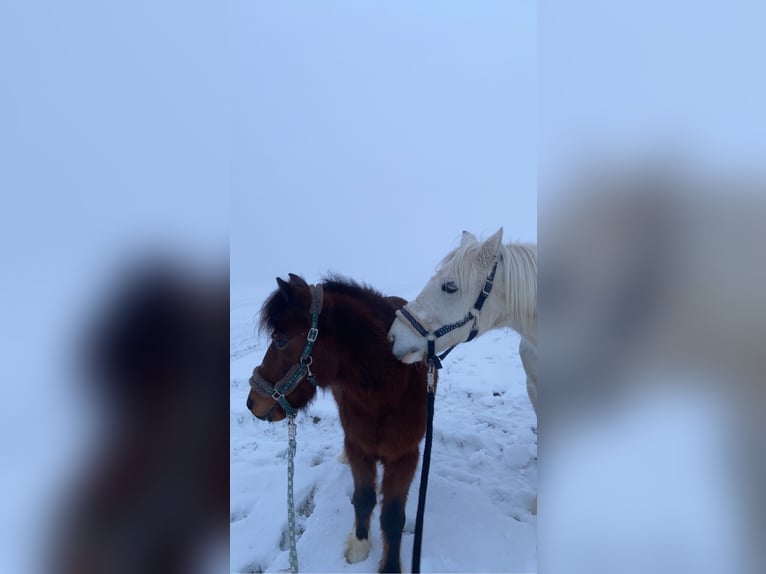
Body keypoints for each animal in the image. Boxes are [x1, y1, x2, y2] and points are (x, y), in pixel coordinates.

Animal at [249, 274, 436, 574]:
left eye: (279, 341)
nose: (252, 403)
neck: (387, 392)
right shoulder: (359, 446)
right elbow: (364, 499)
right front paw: (359, 546)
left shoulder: (403, 457)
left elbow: (392, 517)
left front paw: (390, 566)